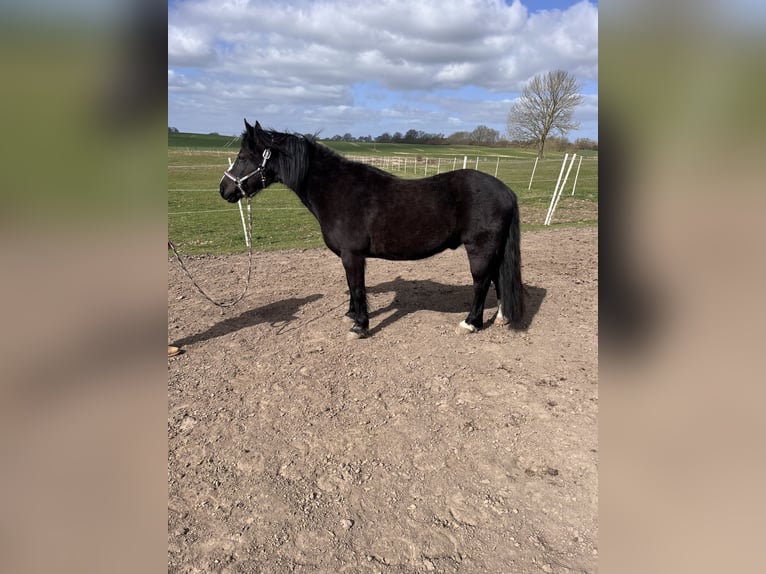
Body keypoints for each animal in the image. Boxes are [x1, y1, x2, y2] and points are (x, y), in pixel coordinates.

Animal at [220, 119, 524, 339]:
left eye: (244, 156)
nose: (224, 190)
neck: (337, 190)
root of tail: (506, 190)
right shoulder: (350, 257)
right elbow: (352, 286)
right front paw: (352, 315)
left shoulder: (352, 255)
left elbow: (356, 287)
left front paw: (360, 327)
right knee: (497, 278)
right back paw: (501, 317)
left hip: (480, 249)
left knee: (481, 283)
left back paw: (470, 323)